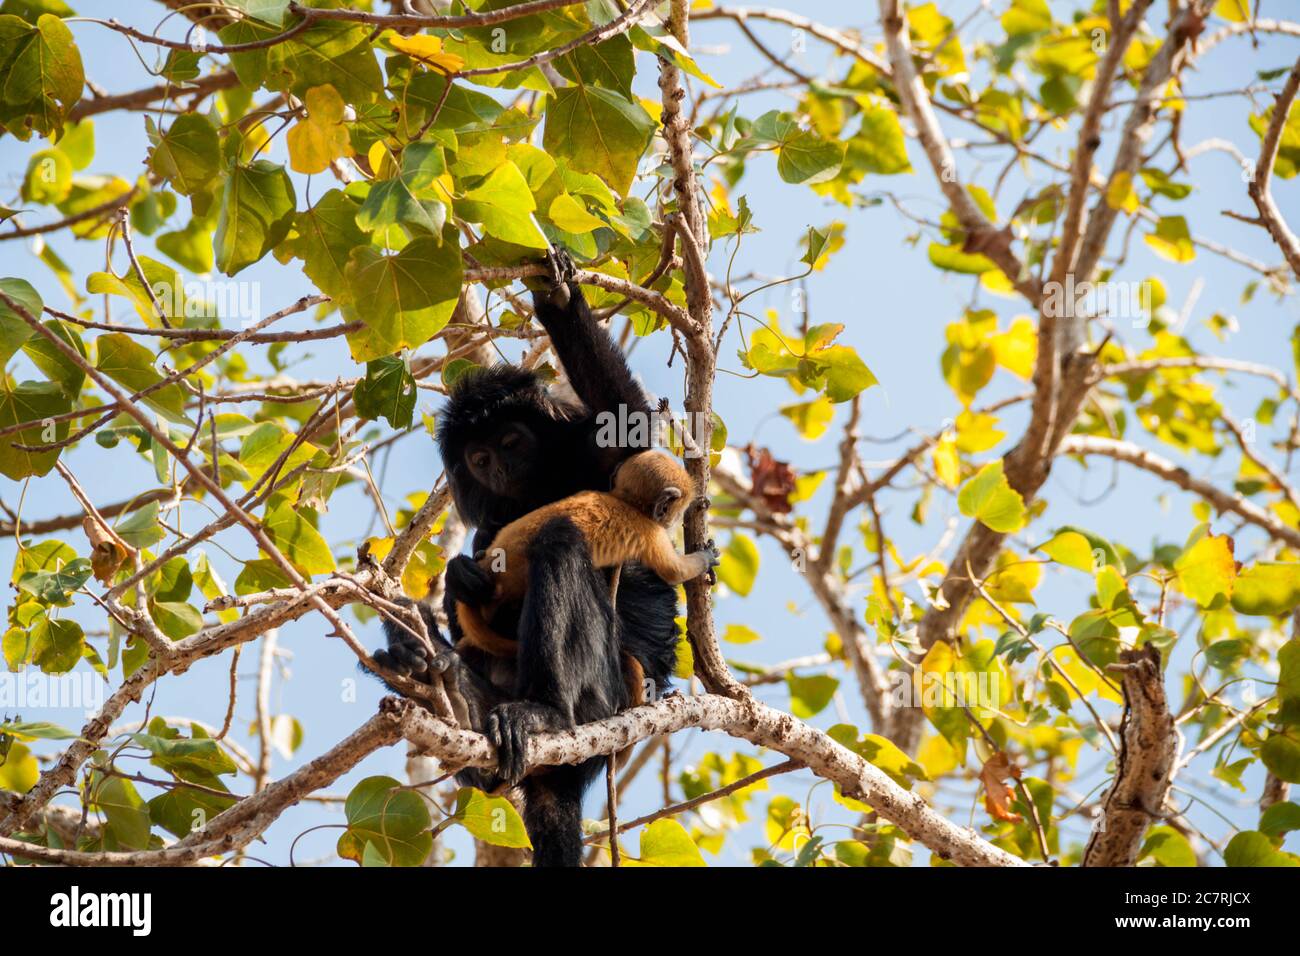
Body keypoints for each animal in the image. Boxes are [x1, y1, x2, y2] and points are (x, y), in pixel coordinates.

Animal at [377, 248, 681, 868]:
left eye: (511, 441)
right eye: (479, 456)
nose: (496, 465)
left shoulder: (589, 449)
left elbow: (631, 429)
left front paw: (557, 296)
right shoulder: (488, 523)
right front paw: (460, 579)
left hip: (607, 694)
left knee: (561, 542)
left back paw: (544, 713)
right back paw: (428, 672)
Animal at [457, 450, 722, 660]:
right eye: (676, 512)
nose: (673, 520)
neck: (624, 500)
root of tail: (491, 567)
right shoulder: (652, 532)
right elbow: (673, 571)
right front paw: (706, 556)